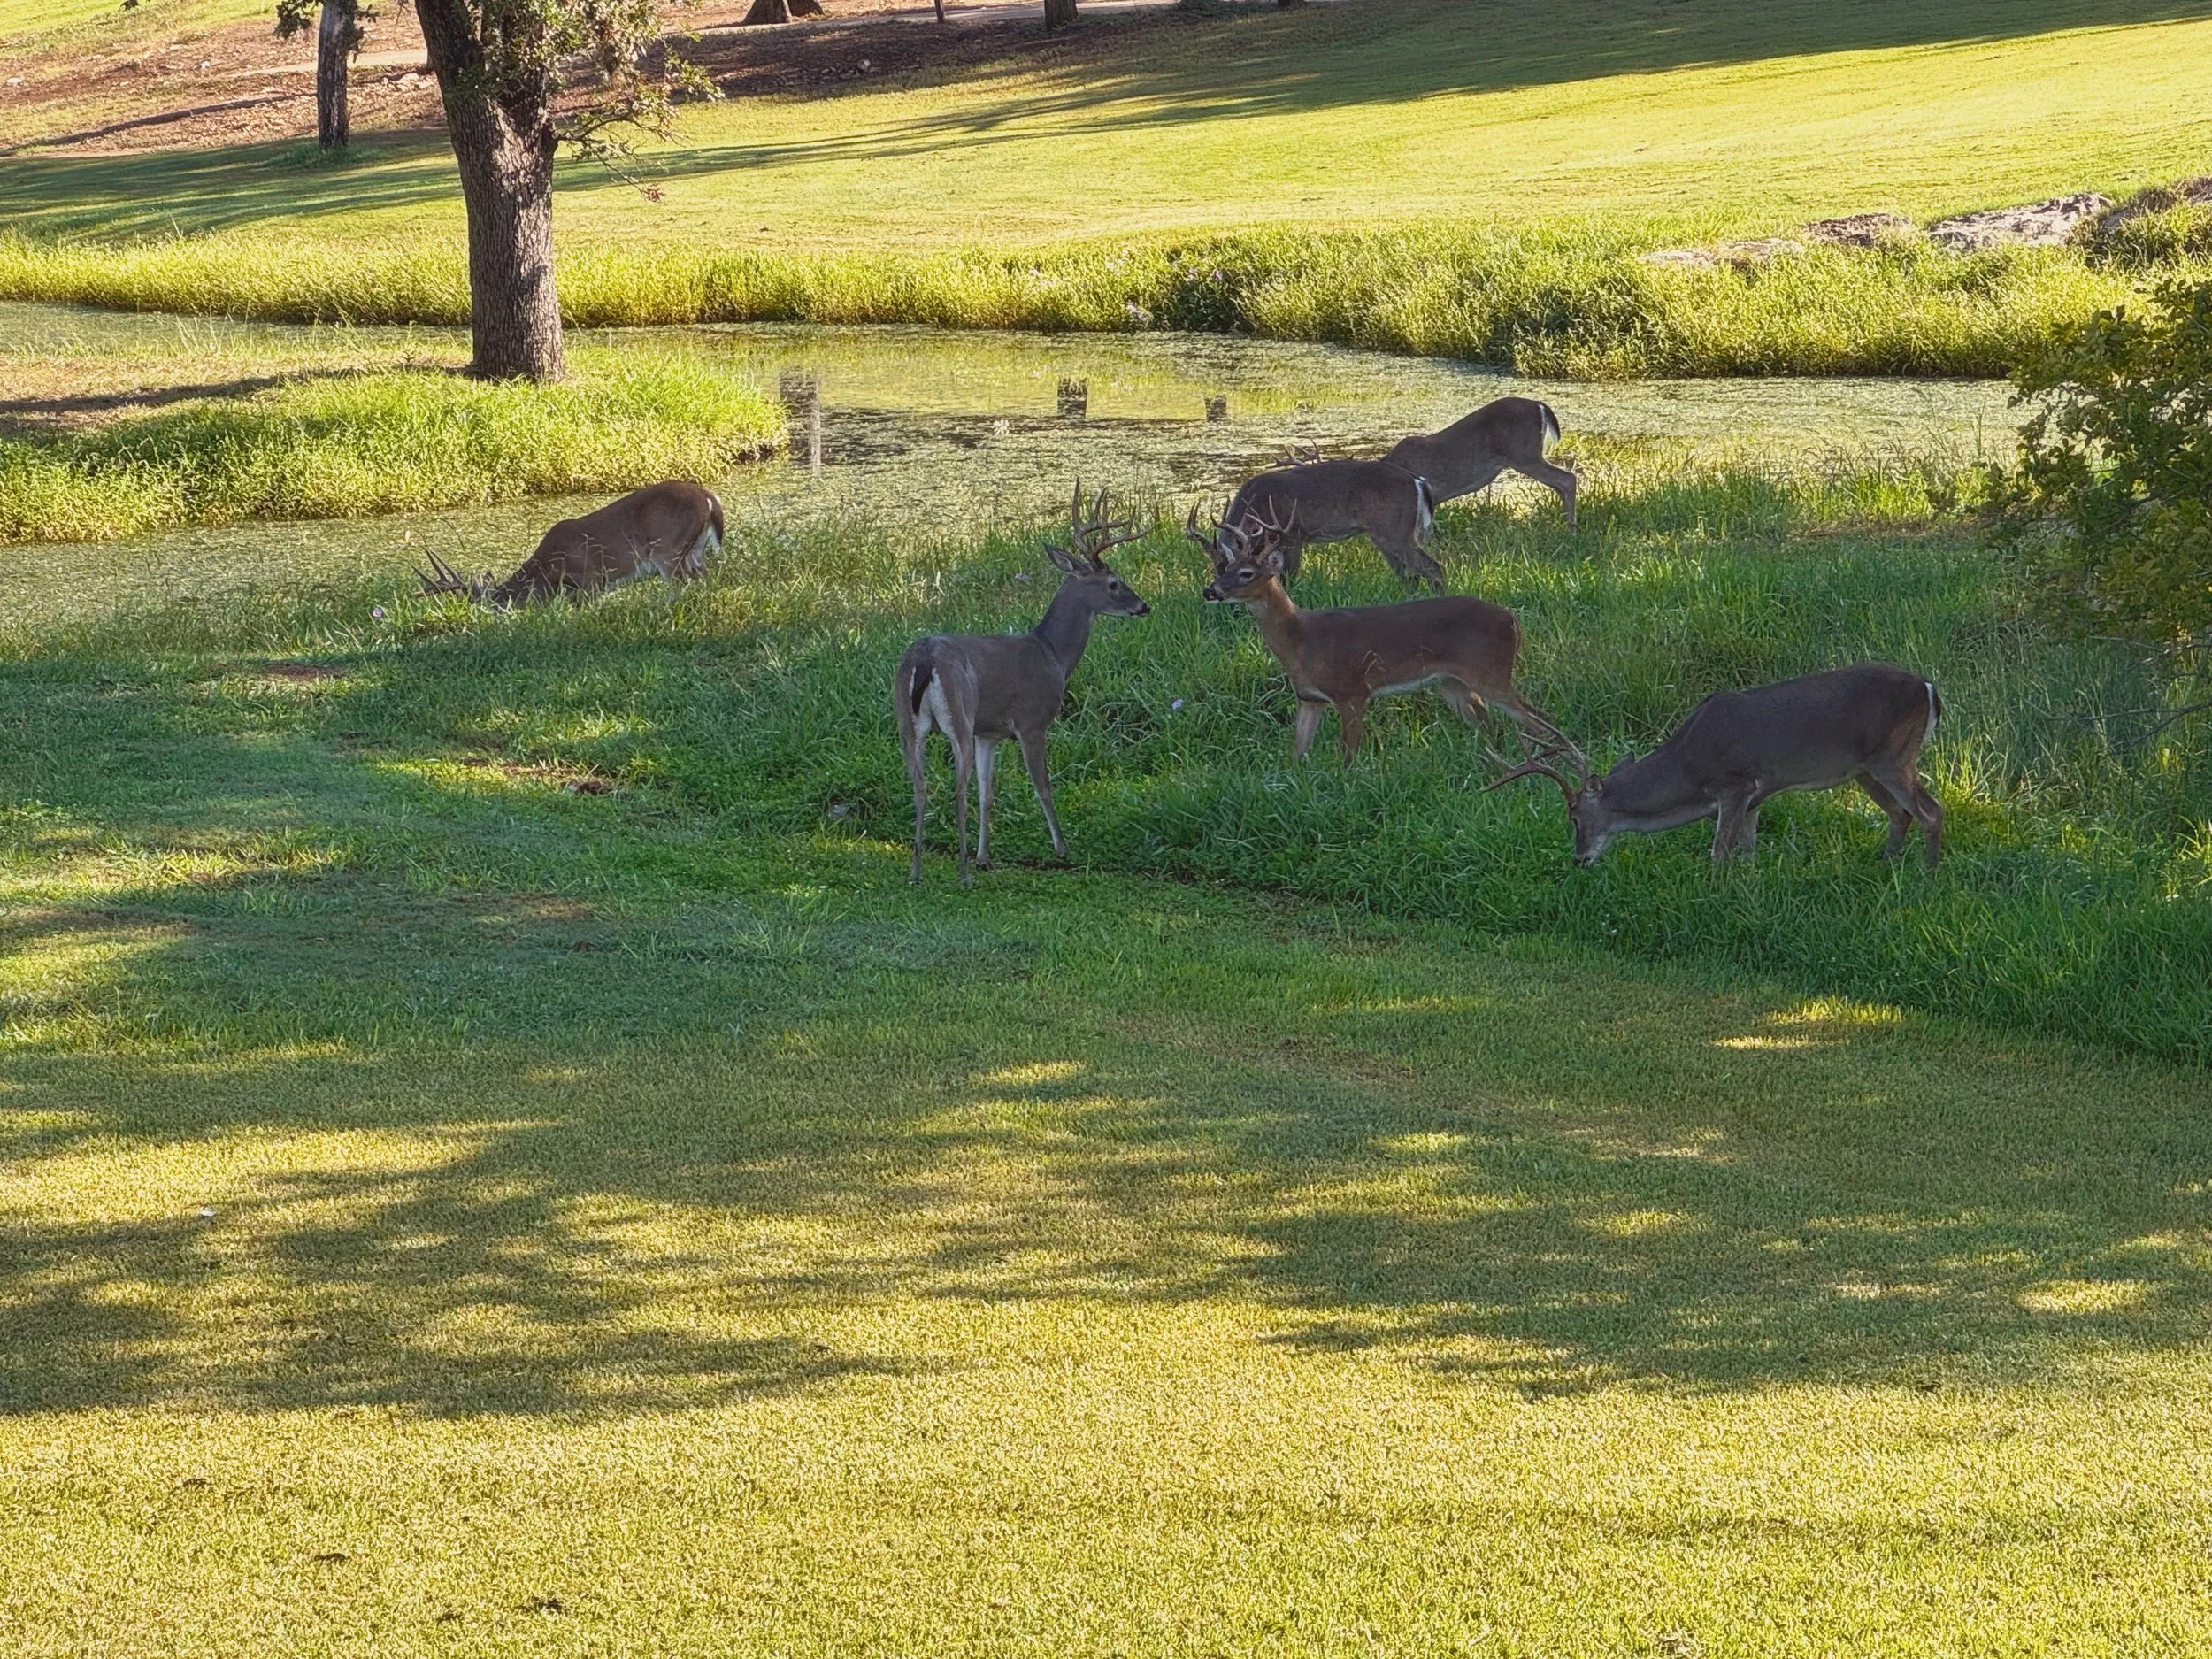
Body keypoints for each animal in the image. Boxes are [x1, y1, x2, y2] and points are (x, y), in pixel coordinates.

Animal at [419, 480, 724, 605]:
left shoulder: (592, 578)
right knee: (703, 577)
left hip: (667, 548)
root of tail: (708, 497)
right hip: (694, 549)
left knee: (683, 583)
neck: (547, 571)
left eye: (493, 605)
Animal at [897, 485, 1151, 886]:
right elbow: (1042, 786)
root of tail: (925, 658)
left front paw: (985, 856)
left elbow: (988, 793)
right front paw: (1062, 849)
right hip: (959, 714)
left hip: (906, 720)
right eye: (1113, 583)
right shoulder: (1032, 722)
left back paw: (918, 872)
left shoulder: (988, 733)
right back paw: (962, 875)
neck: (1052, 654)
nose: (1143, 606)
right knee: (956, 790)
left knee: (920, 785)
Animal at [1189, 500, 1561, 764]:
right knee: (1490, 723)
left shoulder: (1353, 690)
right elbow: (1296, 754)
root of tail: (1513, 620)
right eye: (1223, 568)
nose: (1210, 591)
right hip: (1451, 683)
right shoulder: (1309, 698)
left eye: (1247, 573)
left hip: (1491, 672)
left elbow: (1348, 757)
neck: (1301, 640)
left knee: (1539, 718)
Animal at [1223, 455, 1442, 586]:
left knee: (1432, 567)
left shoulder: (1294, 534)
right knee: (1409, 575)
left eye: (1245, 573)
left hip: (1395, 531)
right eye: (1221, 569)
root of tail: (1418, 480)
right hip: (1385, 535)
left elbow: (1289, 577)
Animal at [1485, 664, 1945, 868]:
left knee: (1930, 810)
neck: (1687, 769)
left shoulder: (1736, 784)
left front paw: (1717, 896)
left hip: (1893, 757)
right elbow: (1747, 851)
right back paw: (1886, 864)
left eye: (1575, 817)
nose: (1580, 859)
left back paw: (1927, 874)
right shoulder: (1756, 798)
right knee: (1900, 813)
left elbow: (1719, 852)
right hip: (1865, 769)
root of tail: (1928, 688)